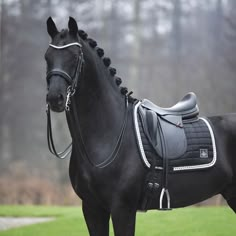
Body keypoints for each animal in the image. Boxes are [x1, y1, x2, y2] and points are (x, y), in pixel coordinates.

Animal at [45, 17, 235, 235]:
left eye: (74, 56)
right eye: (47, 57)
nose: (55, 98)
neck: (106, 138)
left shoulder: (122, 209)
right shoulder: (92, 208)